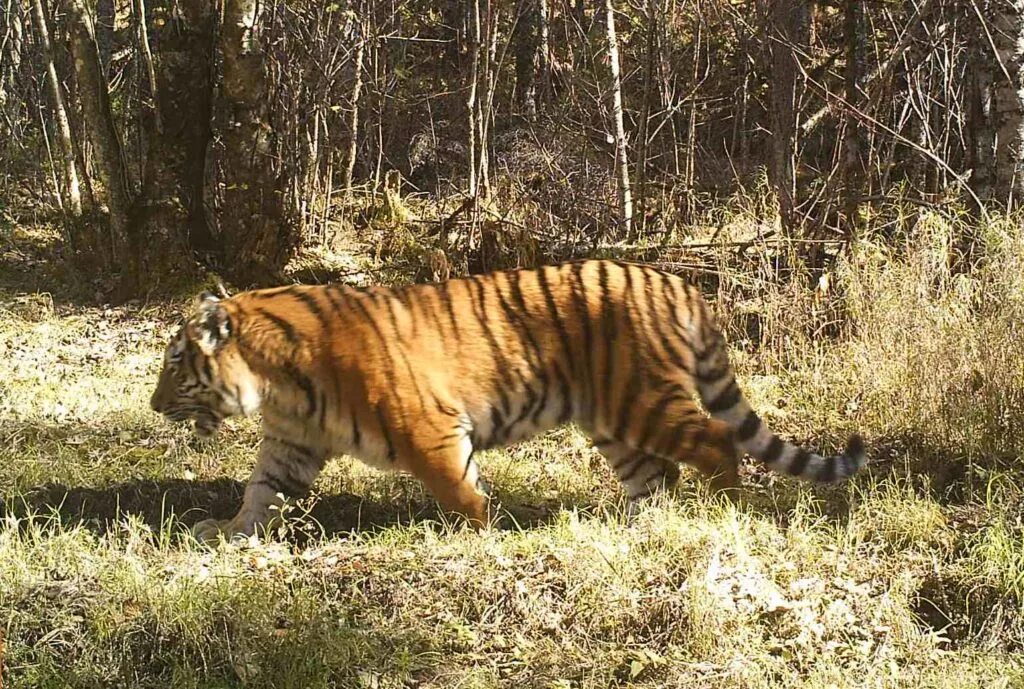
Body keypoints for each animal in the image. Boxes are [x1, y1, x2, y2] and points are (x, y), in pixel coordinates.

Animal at [149, 259, 864, 544]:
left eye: (176, 363)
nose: (153, 407)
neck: (275, 382)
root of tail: (678, 283)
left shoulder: (431, 429)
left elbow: (461, 490)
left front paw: (483, 537)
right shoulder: (293, 441)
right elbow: (261, 491)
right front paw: (228, 532)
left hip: (642, 401)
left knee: (715, 445)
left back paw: (723, 512)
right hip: (614, 418)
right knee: (656, 475)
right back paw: (641, 527)